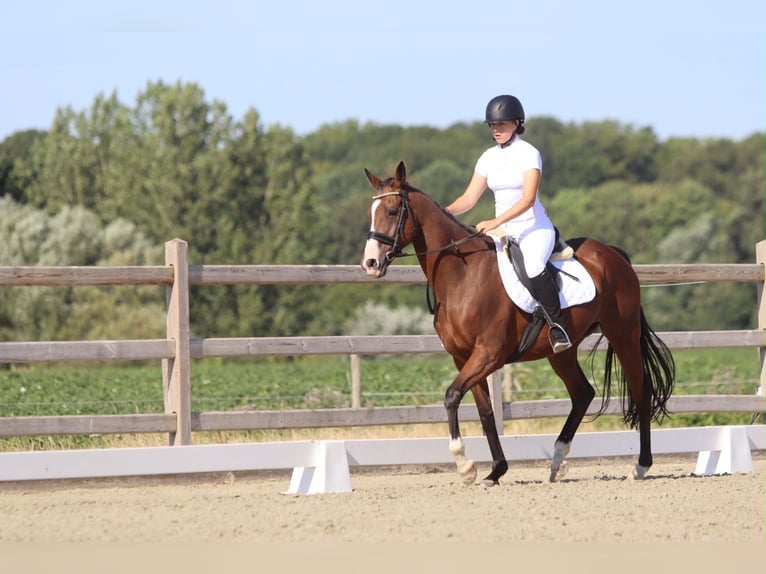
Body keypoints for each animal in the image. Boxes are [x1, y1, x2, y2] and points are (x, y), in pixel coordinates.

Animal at [361, 161, 675, 486]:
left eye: (393, 211)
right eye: (371, 212)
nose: (370, 264)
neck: (462, 276)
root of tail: (615, 254)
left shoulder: (489, 353)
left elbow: (451, 396)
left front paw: (465, 465)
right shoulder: (463, 357)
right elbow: (484, 412)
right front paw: (495, 470)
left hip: (622, 334)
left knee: (640, 391)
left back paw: (641, 466)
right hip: (561, 351)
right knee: (583, 393)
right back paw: (557, 461)